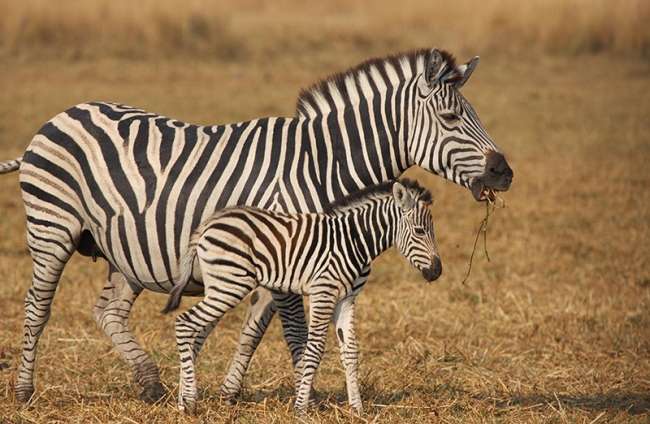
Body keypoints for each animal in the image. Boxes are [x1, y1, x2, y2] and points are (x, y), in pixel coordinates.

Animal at [162, 179, 440, 414]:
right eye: (419, 231)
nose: (437, 272)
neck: (354, 241)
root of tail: (207, 224)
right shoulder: (323, 291)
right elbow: (314, 348)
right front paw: (301, 409)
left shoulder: (347, 298)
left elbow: (350, 350)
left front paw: (357, 409)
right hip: (230, 285)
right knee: (184, 323)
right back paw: (189, 402)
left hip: (220, 286)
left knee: (195, 331)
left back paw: (183, 401)